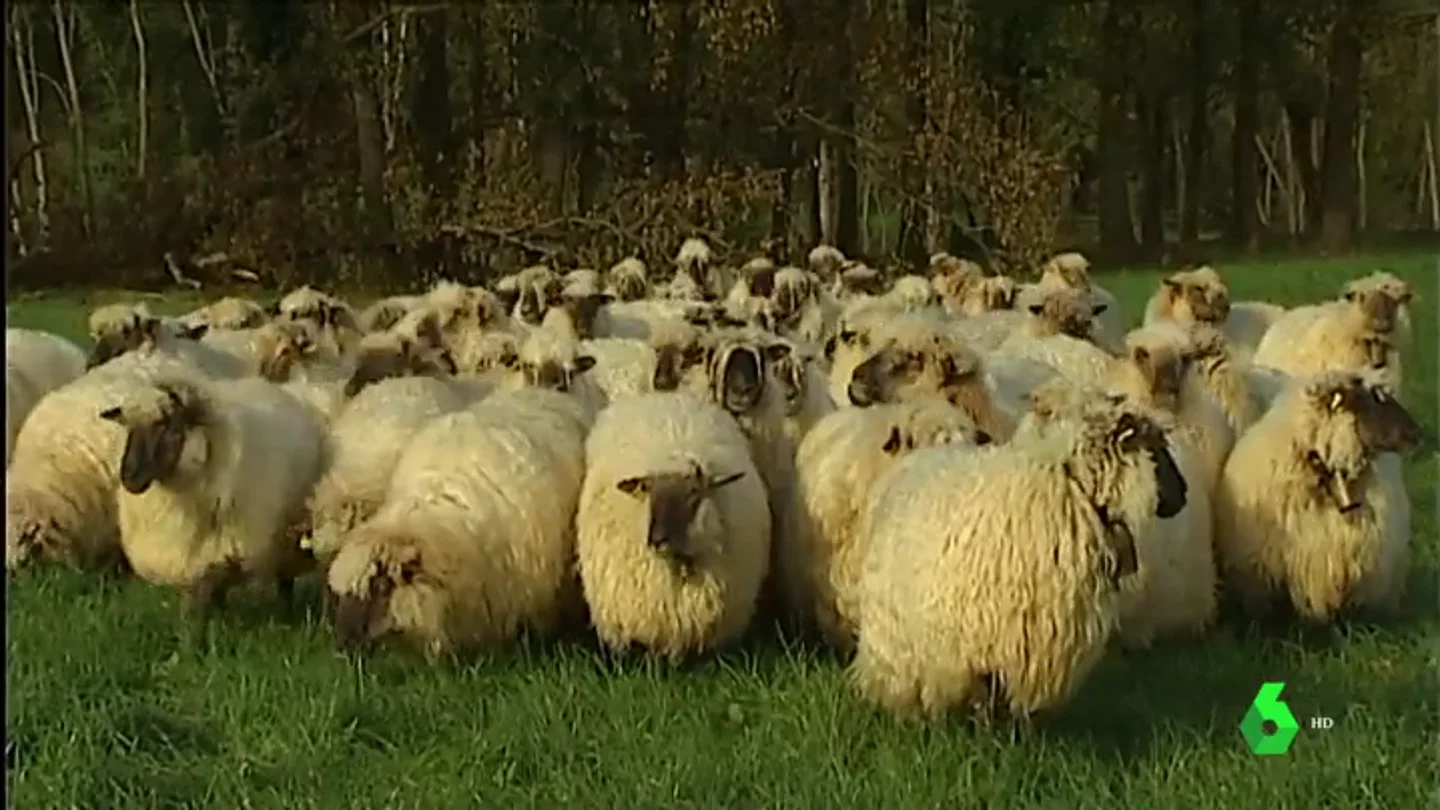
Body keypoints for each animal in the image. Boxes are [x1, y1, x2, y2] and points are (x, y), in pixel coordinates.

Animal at [96, 374, 328, 631]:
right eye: (128, 426)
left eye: (164, 423)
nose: (129, 476)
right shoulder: (187, 552)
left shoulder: (213, 551)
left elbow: (200, 602)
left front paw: (197, 637)